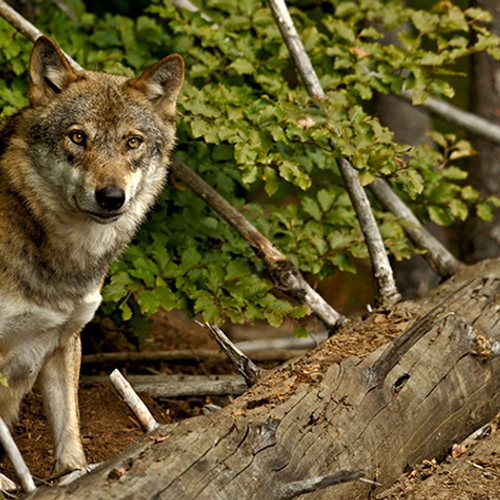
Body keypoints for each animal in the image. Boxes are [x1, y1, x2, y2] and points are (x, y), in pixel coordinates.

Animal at [0, 36, 184, 476]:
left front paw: (75, 474)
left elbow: (69, 429)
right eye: (78, 137)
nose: (111, 197)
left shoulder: (64, 340)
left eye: (132, 141)